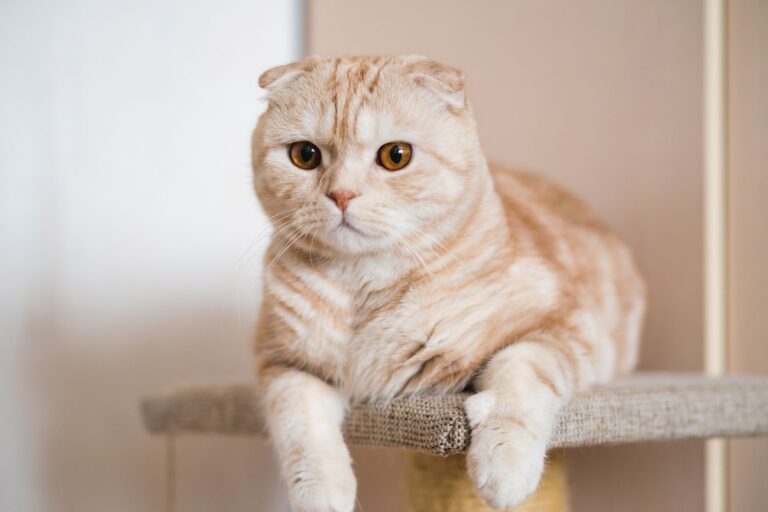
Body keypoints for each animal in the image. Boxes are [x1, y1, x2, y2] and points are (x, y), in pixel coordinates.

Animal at [249, 56, 644, 512]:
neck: (363, 290)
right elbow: (301, 427)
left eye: (395, 156)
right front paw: (321, 494)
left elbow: (520, 374)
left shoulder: (565, 325)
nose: (342, 195)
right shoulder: (284, 364)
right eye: (305, 154)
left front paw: (504, 466)